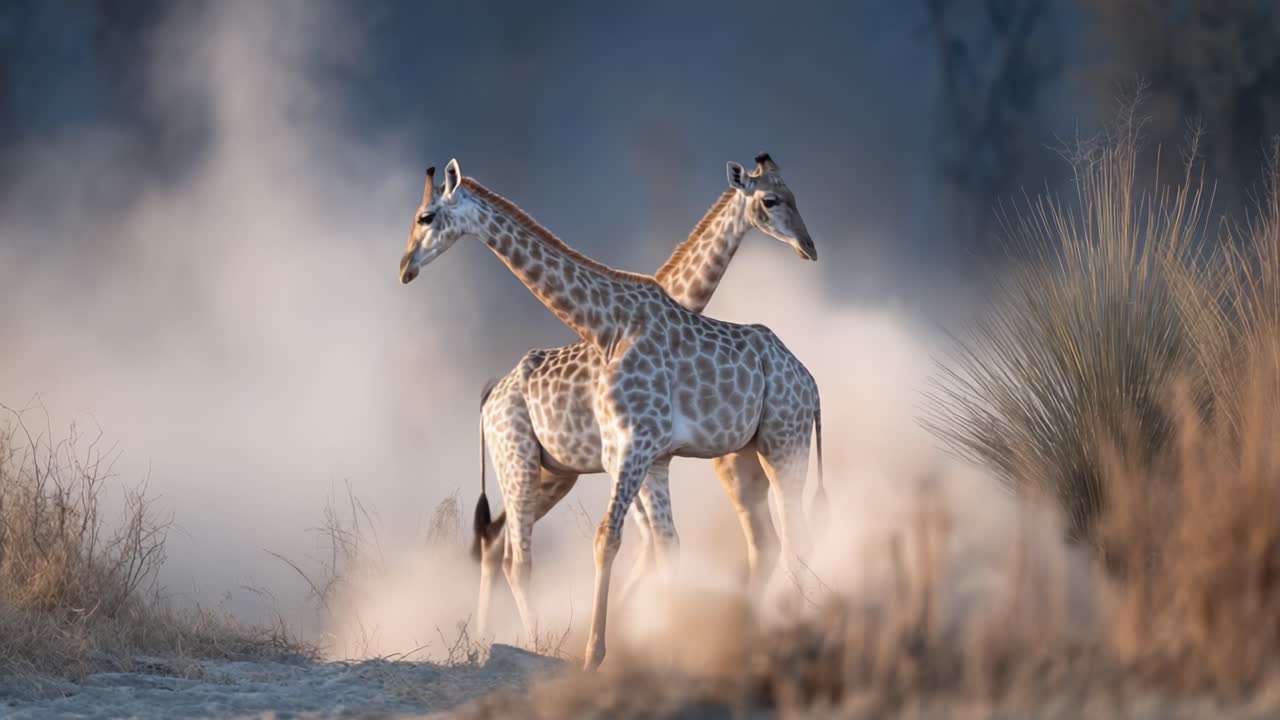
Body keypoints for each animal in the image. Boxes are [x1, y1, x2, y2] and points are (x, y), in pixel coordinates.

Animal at [400, 159, 825, 671]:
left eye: (424, 217)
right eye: (771, 199)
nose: (405, 266)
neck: (611, 324)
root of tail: (810, 381)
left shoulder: (639, 451)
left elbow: (628, 543)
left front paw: (618, 646)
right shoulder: (636, 454)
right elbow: (649, 545)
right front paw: (628, 644)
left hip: (778, 444)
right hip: (528, 465)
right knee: (508, 550)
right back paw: (511, 642)